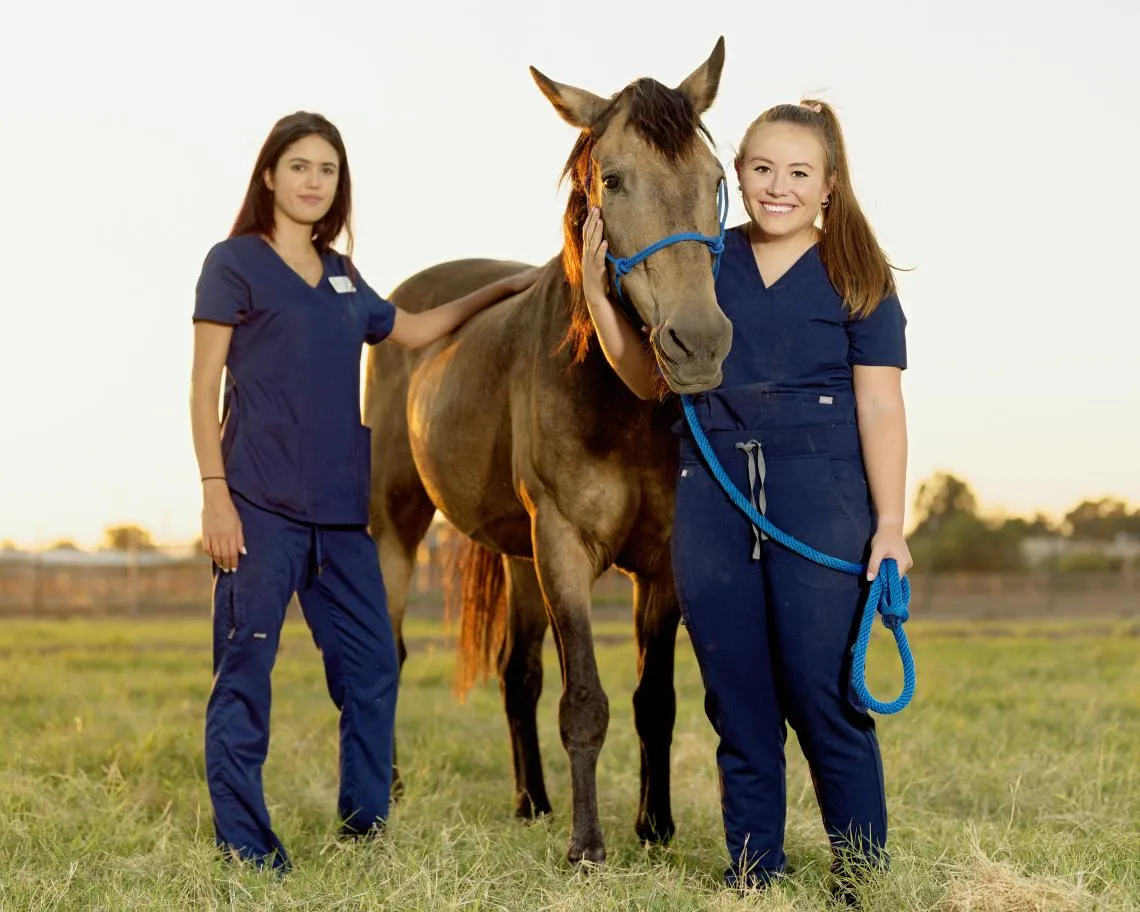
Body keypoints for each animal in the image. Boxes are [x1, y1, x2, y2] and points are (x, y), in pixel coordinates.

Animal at [367, 39, 738, 866]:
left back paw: (532, 801)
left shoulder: (660, 562)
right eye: (614, 178)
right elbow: (586, 701)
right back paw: (391, 791)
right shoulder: (564, 545)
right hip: (396, 526)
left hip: (516, 556)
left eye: (716, 180)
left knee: (518, 674)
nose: (698, 344)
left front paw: (655, 827)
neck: (616, 399)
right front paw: (588, 845)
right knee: (390, 651)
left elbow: (653, 699)